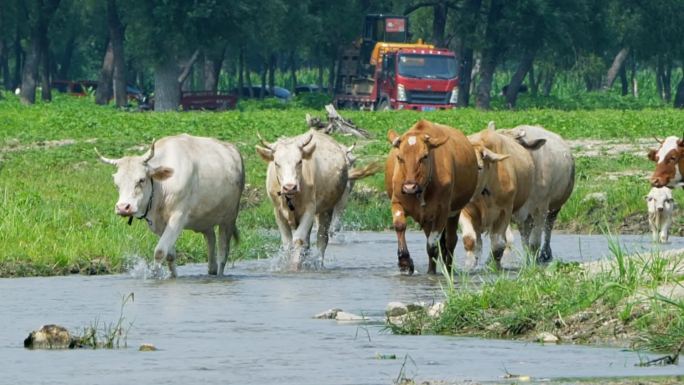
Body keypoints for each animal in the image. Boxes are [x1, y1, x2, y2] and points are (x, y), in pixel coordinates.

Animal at [95, 134, 246, 276]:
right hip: (205, 219)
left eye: (141, 180)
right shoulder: (157, 224)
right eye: (116, 183)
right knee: (211, 241)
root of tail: (233, 150)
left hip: (229, 218)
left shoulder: (178, 217)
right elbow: (169, 255)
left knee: (223, 253)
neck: (161, 188)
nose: (123, 207)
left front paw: (155, 276)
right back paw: (211, 271)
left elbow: (160, 251)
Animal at [382, 120, 478, 272]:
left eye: (424, 156)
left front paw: (431, 272)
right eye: (399, 157)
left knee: (450, 241)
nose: (409, 187)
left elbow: (433, 245)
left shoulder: (442, 211)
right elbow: (399, 226)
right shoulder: (397, 202)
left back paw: (448, 269)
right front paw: (404, 260)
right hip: (427, 219)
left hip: (454, 212)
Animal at [460, 121, 540, 268]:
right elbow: (470, 239)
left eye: (479, 167)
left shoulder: (505, 211)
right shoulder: (466, 209)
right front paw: (470, 264)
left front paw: (494, 265)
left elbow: (498, 243)